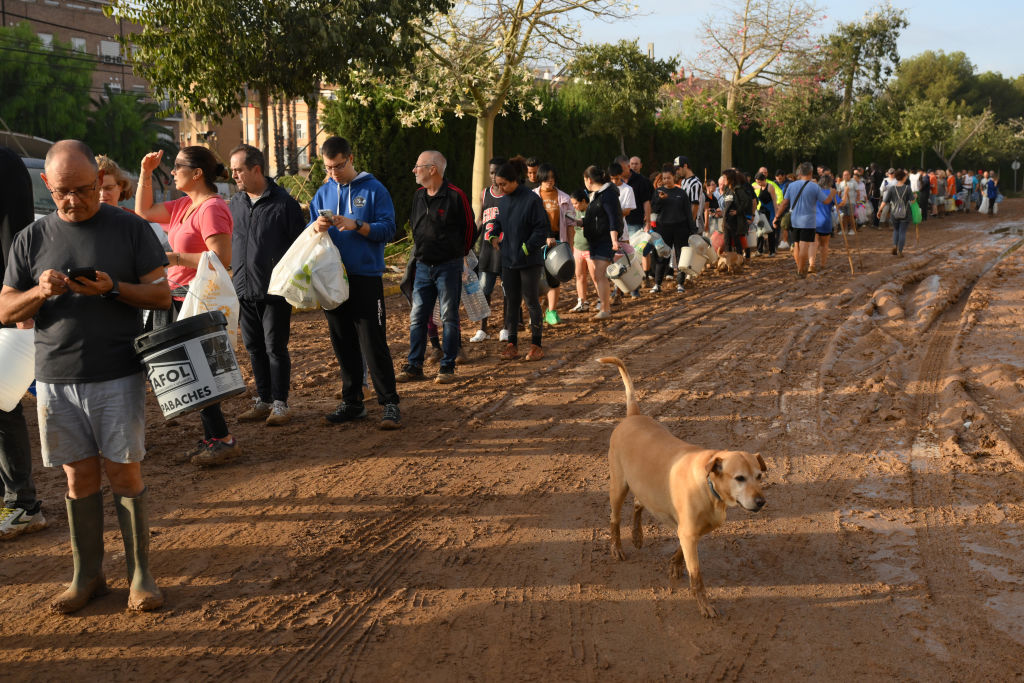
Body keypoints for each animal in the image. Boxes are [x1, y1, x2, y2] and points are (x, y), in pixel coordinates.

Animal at [598, 358, 765, 618]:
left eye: (759, 476)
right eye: (739, 478)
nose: (761, 502)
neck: (709, 486)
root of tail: (633, 414)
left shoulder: (691, 530)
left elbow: (679, 549)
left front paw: (674, 566)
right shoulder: (688, 532)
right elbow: (697, 577)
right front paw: (704, 605)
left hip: (646, 486)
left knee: (638, 504)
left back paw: (637, 536)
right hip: (619, 485)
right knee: (614, 519)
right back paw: (617, 548)